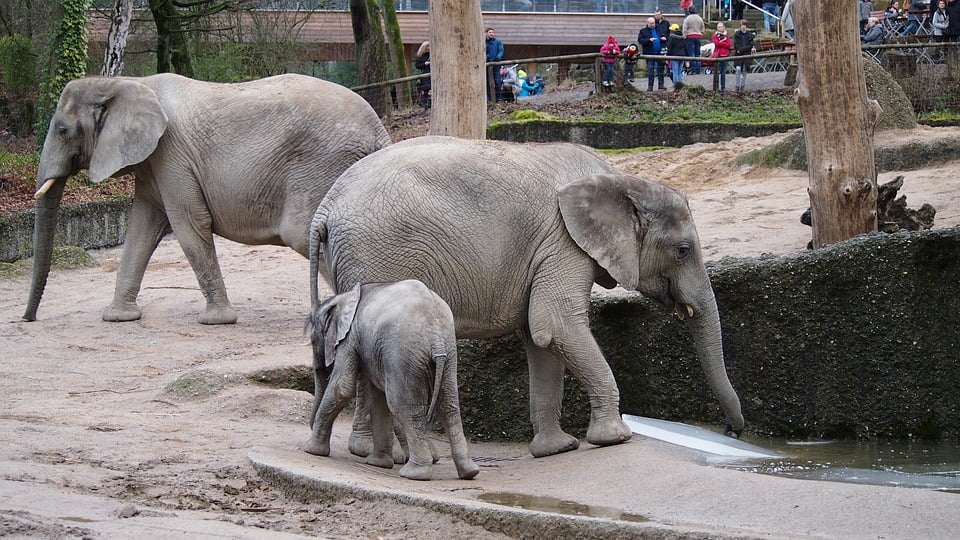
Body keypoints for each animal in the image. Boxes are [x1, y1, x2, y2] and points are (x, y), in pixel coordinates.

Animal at [23, 73, 391, 325]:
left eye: (63, 131)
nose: (28, 319)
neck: (123, 82)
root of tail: (379, 130)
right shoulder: (154, 164)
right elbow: (142, 228)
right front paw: (117, 317)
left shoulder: (172, 155)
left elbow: (188, 224)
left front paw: (216, 321)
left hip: (320, 166)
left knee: (306, 235)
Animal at [304, 280, 480, 481]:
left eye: (312, 340)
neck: (344, 297)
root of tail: (435, 336)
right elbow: (377, 398)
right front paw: (378, 463)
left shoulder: (350, 337)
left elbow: (342, 387)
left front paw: (311, 451)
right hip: (449, 353)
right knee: (448, 407)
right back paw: (469, 472)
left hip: (403, 354)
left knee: (403, 407)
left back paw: (415, 474)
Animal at [309, 136, 744, 459]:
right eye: (683, 251)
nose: (732, 432)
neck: (622, 179)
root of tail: (324, 208)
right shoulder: (563, 242)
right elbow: (555, 324)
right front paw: (615, 439)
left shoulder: (548, 250)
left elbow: (541, 340)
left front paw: (557, 449)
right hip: (375, 256)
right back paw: (388, 455)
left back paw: (369, 452)